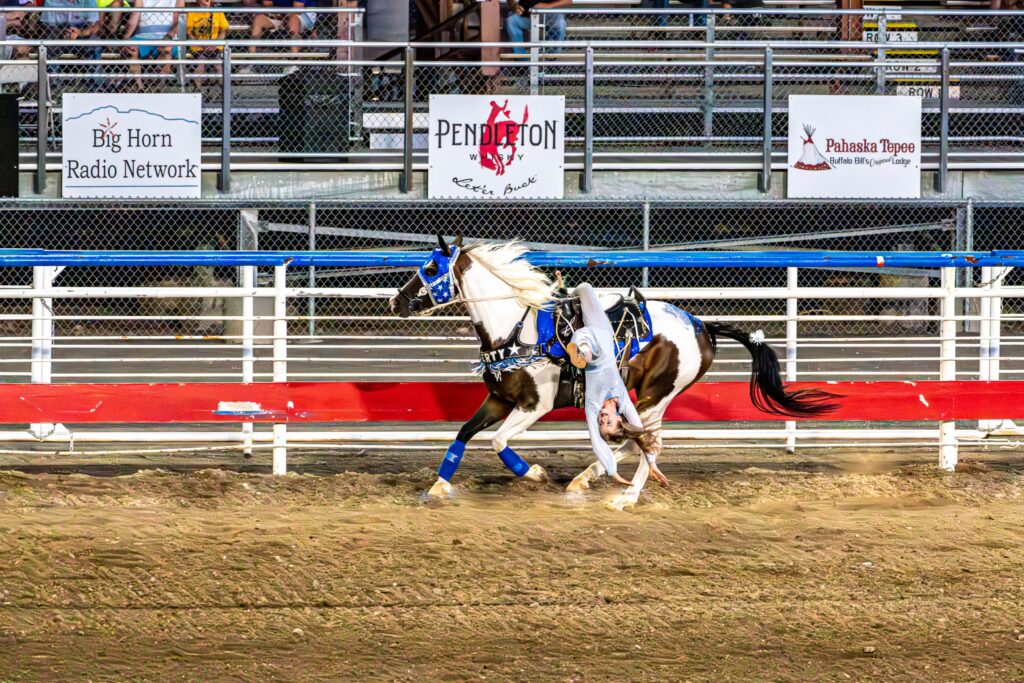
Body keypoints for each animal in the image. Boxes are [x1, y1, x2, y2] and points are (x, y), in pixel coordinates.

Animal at [387, 235, 835, 507]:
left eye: (431, 269)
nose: (397, 301)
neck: (516, 329)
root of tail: (701, 326)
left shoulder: (534, 405)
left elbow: (497, 441)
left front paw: (533, 473)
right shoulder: (498, 399)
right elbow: (463, 433)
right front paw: (439, 485)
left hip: (659, 393)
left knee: (650, 443)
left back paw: (626, 497)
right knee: (636, 441)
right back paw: (588, 478)